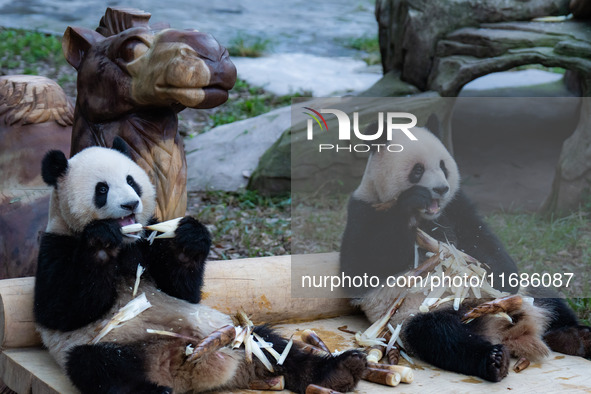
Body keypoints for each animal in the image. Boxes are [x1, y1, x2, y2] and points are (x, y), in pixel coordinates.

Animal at [35, 139, 366, 394]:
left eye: (132, 181)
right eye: (101, 189)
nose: (130, 204)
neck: (128, 243)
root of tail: (187, 368)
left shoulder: (149, 241)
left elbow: (183, 289)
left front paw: (190, 238)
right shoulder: (55, 245)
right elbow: (61, 309)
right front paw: (102, 241)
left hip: (229, 331)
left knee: (272, 345)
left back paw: (339, 370)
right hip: (113, 344)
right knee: (98, 367)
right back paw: (155, 391)